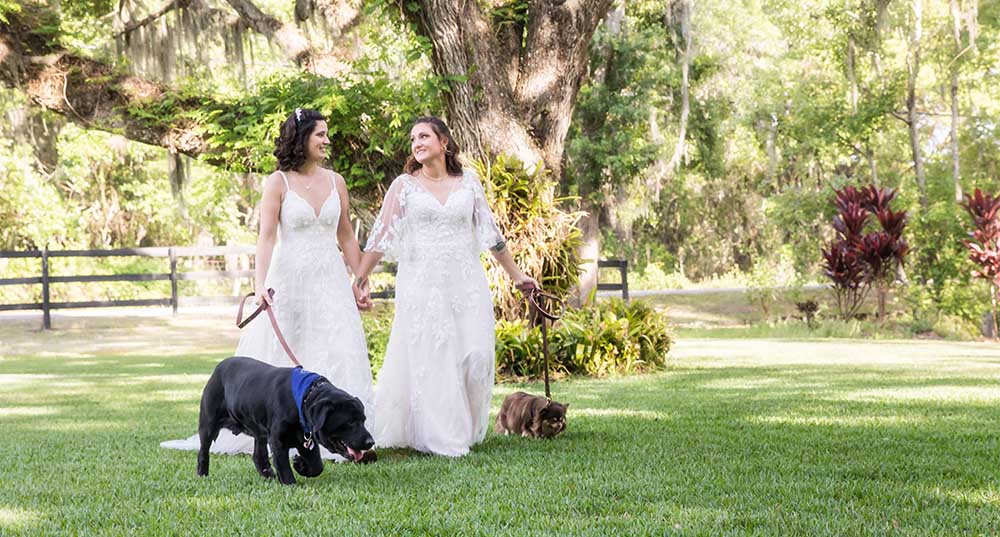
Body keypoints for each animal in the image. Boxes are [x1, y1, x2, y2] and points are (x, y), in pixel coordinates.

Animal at [196, 354, 376, 484]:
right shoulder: (278, 440)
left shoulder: (307, 440)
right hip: (208, 424)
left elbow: (317, 466)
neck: (303, 400)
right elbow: (283, 465)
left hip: (259, 431)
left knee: (258, 455)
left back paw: (267, 474)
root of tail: (219, 366)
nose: (370, 442)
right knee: (203, 451)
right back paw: (202, 474)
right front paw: (291, 483)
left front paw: (300, 464)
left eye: (363, 420)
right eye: (350, 422)